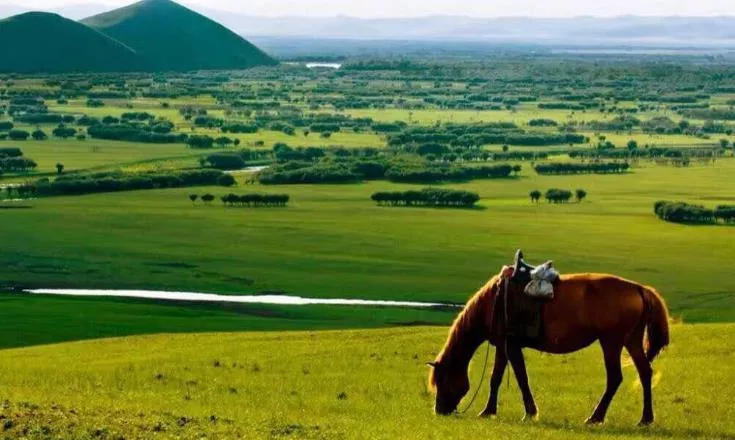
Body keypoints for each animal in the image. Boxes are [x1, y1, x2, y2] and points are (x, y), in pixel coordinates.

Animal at [426, 254, 672, 426]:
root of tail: (639, 289)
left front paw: (530, 413)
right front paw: (488, 411)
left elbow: (521, 378)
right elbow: (495, 378)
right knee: (645, 372)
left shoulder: (512, 346)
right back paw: (645, 419)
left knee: (615, 378)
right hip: (631, 340)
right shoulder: (503, 347)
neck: (493, 302)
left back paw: (595, 417)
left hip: (611, 342)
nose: (439, 411)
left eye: (442, 380)